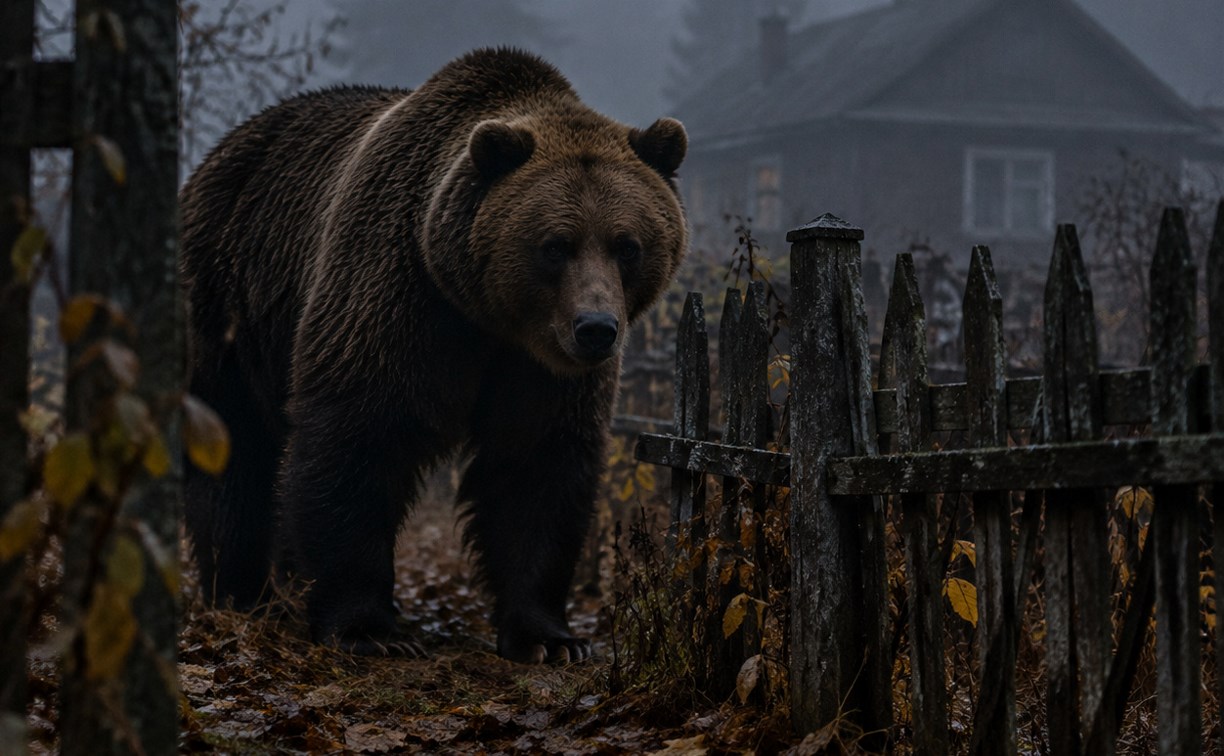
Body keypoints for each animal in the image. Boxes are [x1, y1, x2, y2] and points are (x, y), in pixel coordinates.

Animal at [179, 48, 687, 662]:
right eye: (555, 245)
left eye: (627, 245)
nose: (596, 329)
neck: (485, 315)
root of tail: (218, 152)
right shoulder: (397, 295)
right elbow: (358, 437)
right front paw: (366, 627)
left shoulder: (539, 368)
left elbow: (536, 464)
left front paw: (550, 637)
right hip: (227, 300)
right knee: (232, 443)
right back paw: (243, 592)